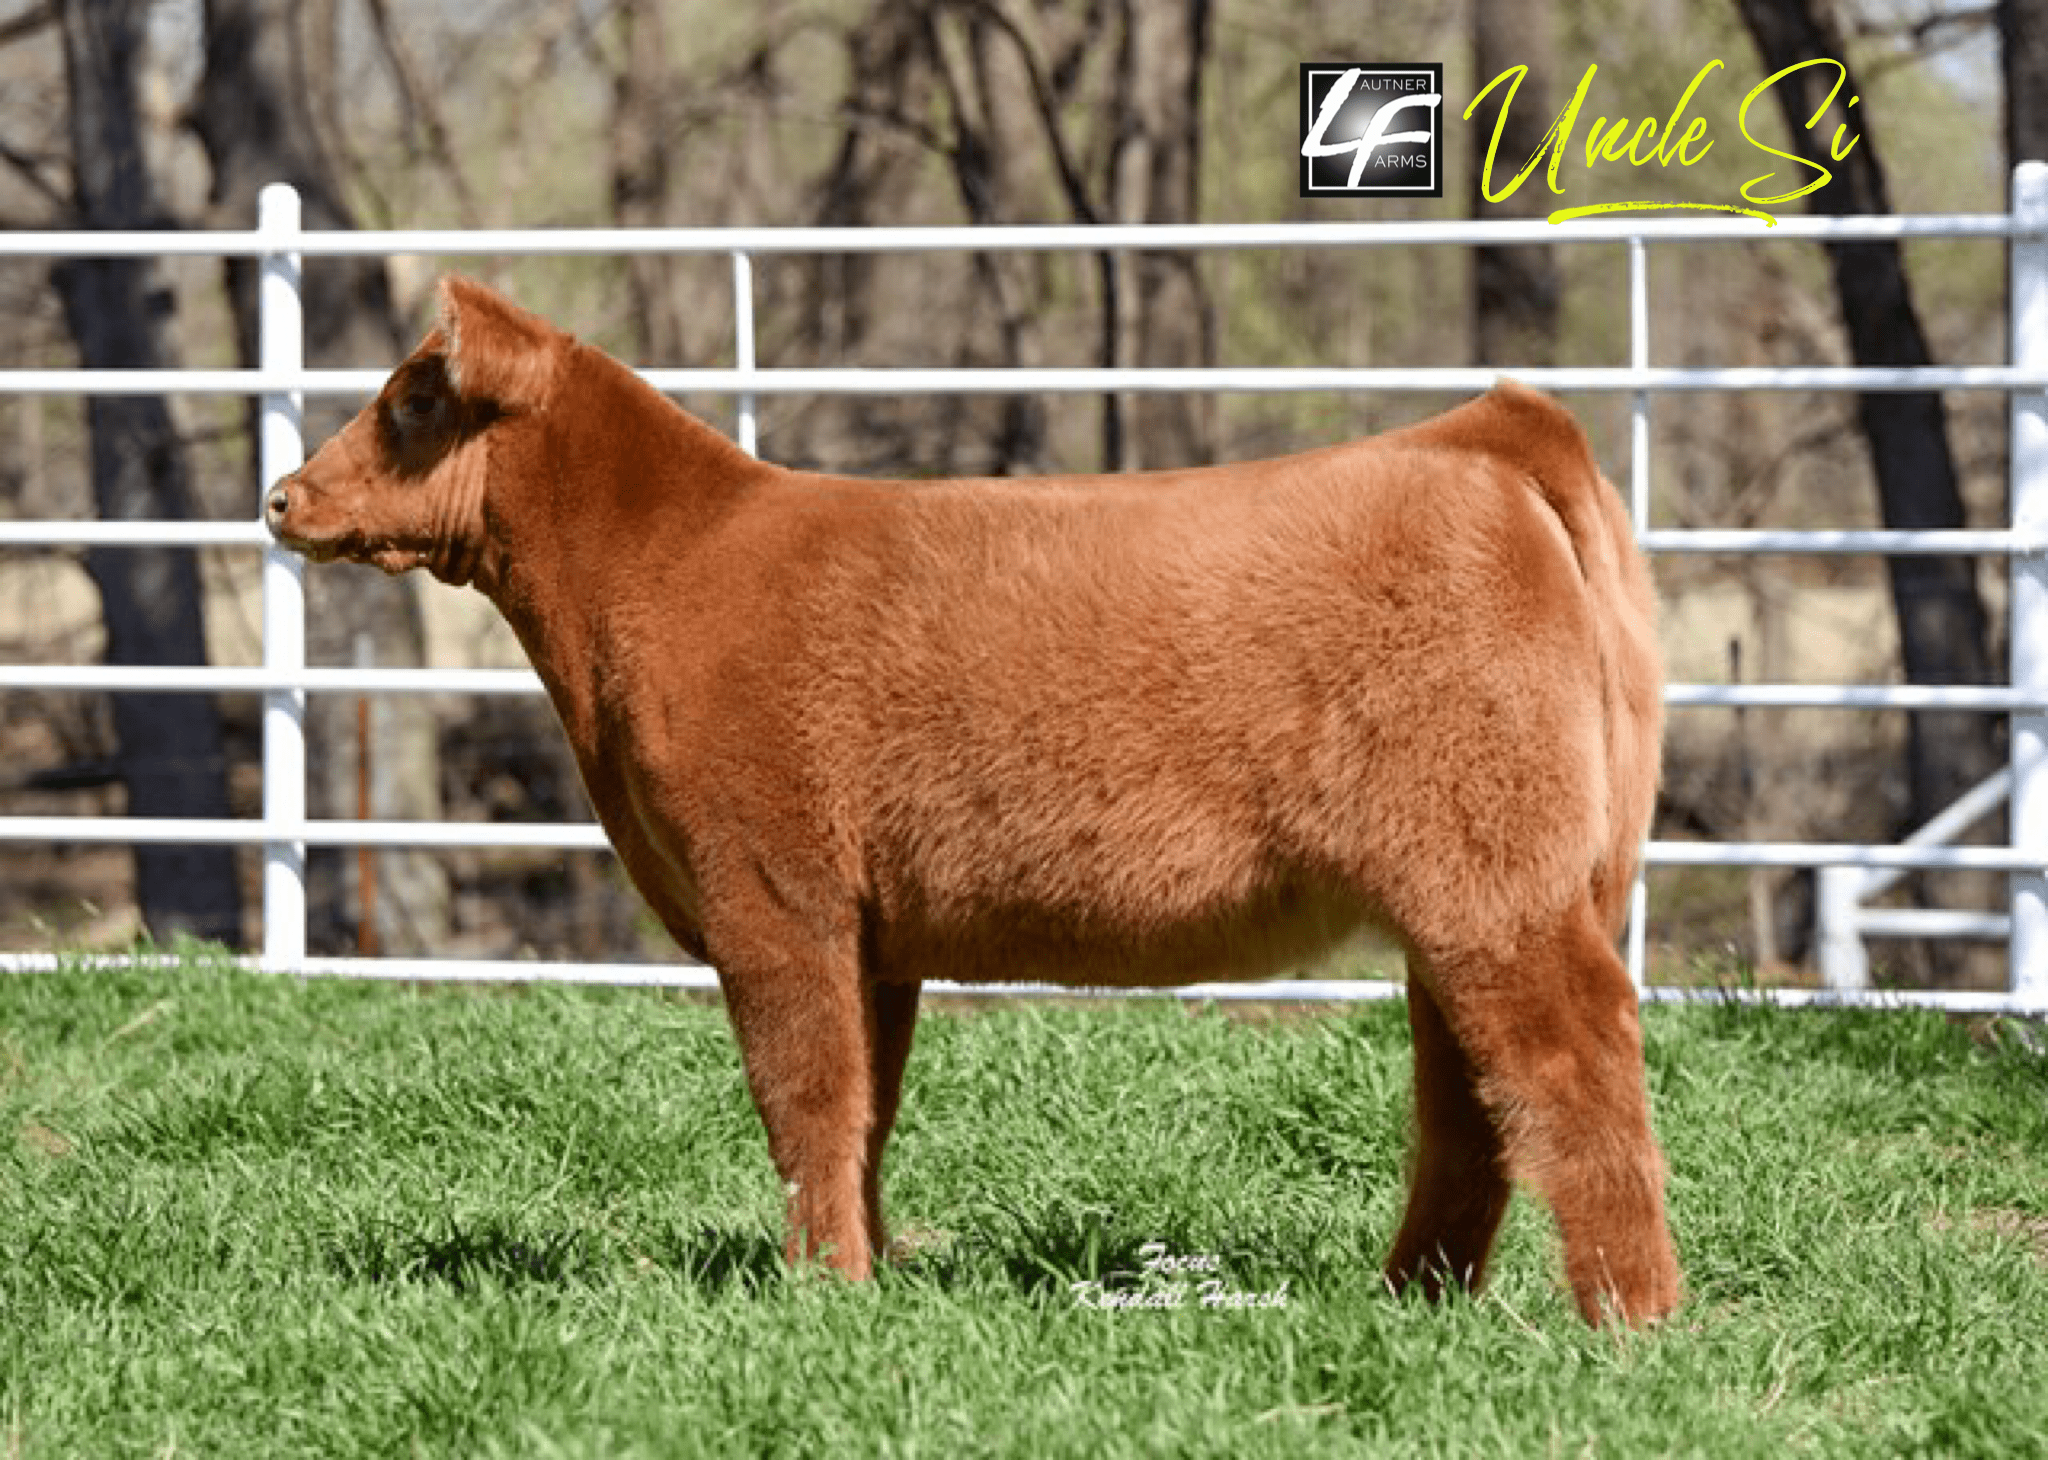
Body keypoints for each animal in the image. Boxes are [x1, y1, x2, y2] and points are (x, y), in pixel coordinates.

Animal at [265, 275, 1680, 1326]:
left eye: (410, 398)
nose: (281, 495)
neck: (656, 572)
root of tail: (1479, 435)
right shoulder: (871, 930)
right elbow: (866, 1106)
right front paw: (870, 1270)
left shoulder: (769, 892)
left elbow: (805, 1093)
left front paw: (818, 1288)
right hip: (1478, 892)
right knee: (1469, 1092)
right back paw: (1411, 1299)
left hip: (1495, 880)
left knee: (1570, 1055)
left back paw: (1629, 1318)